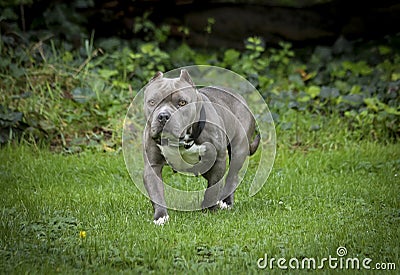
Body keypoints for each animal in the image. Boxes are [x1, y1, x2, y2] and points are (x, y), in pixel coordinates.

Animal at [142, 70, 260, 225]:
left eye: (182, 102)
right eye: (152, 102)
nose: (163, 116)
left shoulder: (218, 161)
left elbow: (212, 188)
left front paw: (209, 209)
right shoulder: (152, 166)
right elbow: (156, 192)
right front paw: (160, 217)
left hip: (239, 149)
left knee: (232, 175)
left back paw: (226, 202)